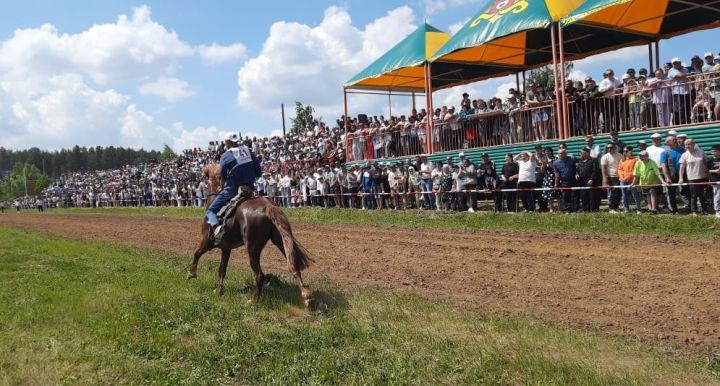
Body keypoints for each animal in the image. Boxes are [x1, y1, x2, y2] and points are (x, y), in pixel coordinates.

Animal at [186, 164, 316, 308]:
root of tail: (268, 207)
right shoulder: (226, 249)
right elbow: (222, 269)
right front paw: (219, 290)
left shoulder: (207, 242)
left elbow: (197, 253)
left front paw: (191, 273)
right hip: (280, 241)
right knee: (294, 266)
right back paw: (306, 296)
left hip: (252, 249)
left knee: (259, 275)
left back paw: (253, 301)